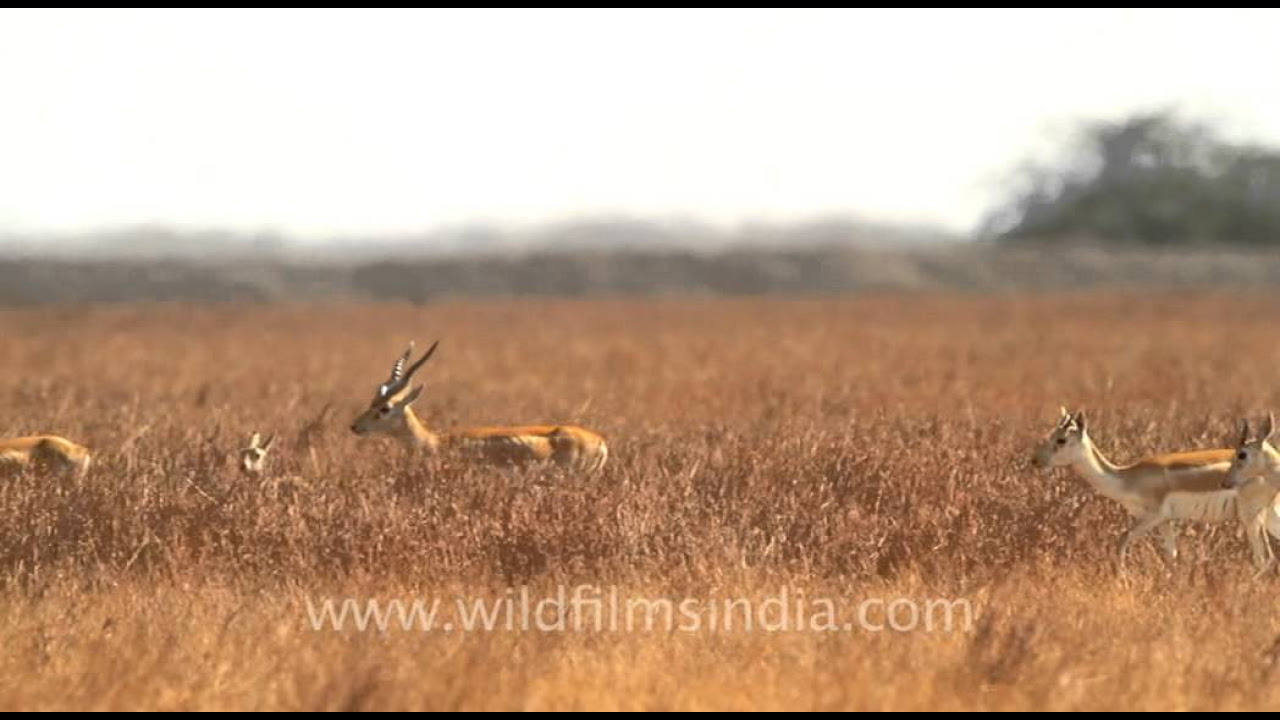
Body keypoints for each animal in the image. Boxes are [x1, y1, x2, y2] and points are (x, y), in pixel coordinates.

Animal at [1029, 407, 1259, 568]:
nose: (1035, 460)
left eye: (1061, 439)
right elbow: (1171, 554)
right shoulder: (1165, 521)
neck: (1127, 478)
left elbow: (1121, 540)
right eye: (1051, 434)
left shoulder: (1152, 517)